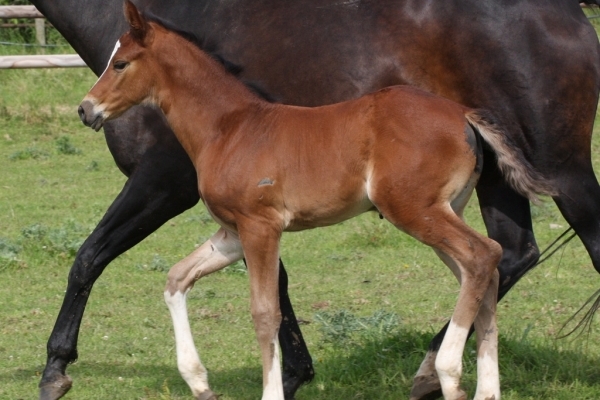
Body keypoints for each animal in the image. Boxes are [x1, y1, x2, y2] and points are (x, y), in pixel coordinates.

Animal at [78, 1, 552, 398]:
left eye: (120, 63)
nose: (86, 109)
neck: (229, 127)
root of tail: (463, 115)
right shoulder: (232, 232)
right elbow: (177, 278)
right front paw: (199, 382)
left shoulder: (261, 227)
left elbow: (265, 312)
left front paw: (269, 392)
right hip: (443, 212)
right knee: (486, 269)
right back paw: (483, 389)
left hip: (414, 211)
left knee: (482, 255)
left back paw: (447, 372)